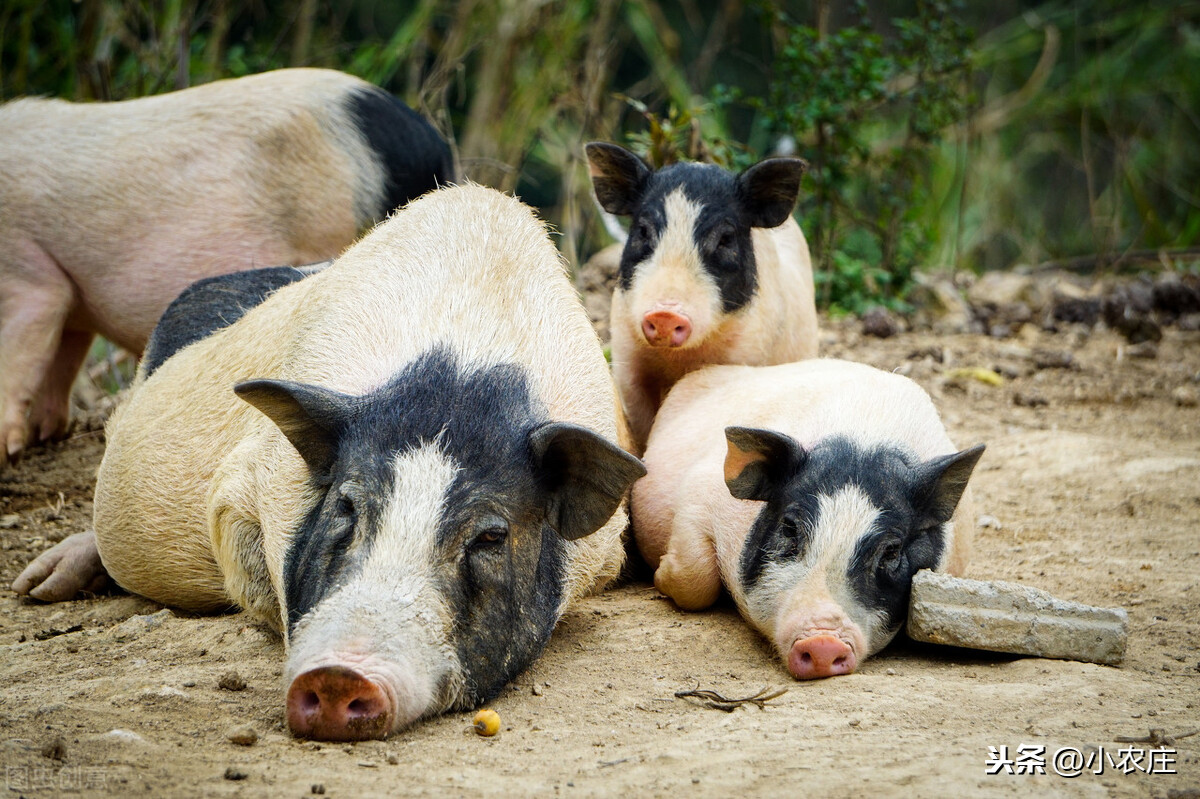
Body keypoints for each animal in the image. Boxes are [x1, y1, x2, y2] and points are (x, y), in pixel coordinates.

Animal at [0, 68, 453, 467]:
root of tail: (432, 145)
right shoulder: (70, 295)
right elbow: (62, 355)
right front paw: (44, 435)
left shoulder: (29, 272)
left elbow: (26, 339)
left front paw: (8, 451)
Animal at [11, 183, 648, 739]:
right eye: (346, 504)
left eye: (491, 536)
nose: (340, 676)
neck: (461, 372)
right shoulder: (239, 490)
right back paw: (34, 589)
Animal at [585, 141, 820, 448]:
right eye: (643, 231)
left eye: (725, 239)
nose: (665, 313)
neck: (679, 360)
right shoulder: (628, 356)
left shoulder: (747, 352)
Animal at [633, 359, 979, 676]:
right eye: (789, 527)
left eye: (892, 551)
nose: (823, 642)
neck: (862, 441)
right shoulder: (698, 492)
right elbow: (696, 581)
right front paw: (659, 576)